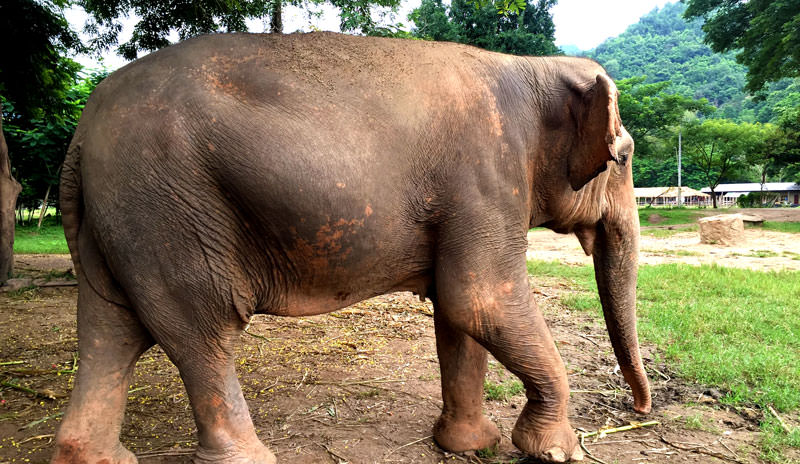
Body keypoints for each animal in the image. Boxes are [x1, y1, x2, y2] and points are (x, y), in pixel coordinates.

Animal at [52, 32, 651, 464]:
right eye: (621, 158)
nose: (640, 409)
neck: (530, 66)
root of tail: (81, 132)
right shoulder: (484, 177)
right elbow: (480, 301)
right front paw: (558, 451)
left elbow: (457, 315)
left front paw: (470, 445)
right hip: (168, 208)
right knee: (204, 332)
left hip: (124, 220)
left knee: (112, 328)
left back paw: (92, 457)